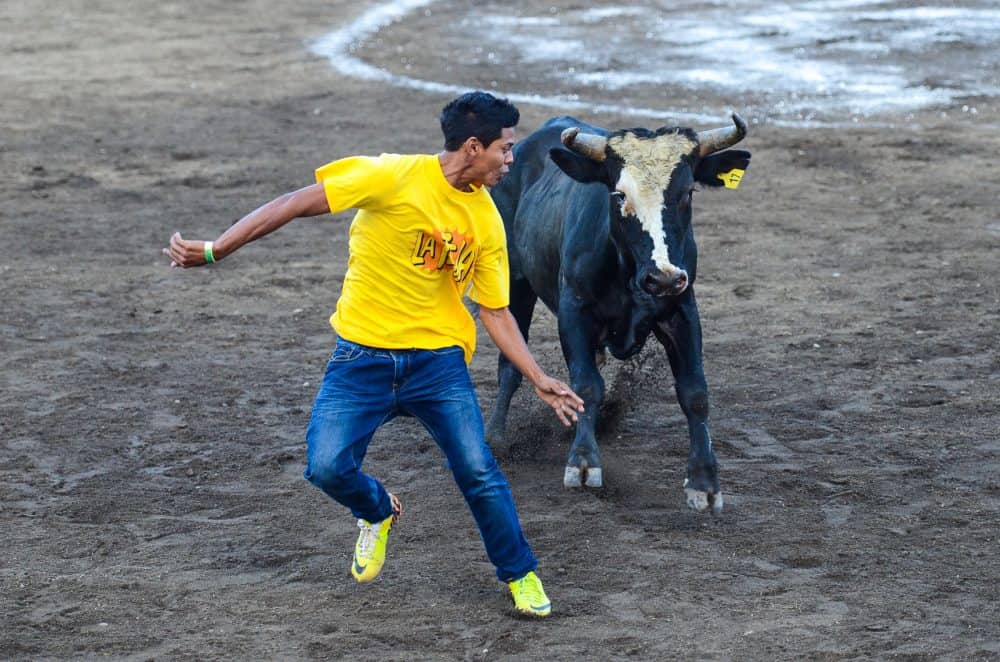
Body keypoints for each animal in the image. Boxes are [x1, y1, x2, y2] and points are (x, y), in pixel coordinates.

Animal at [484, 116, 752, 516]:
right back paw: (497, 436)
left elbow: (694, 392)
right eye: (620, 194)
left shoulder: (682, 309)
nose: (663, 277)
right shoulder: (574, 313)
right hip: (514, 284)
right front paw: (583, 462)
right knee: (509, 362)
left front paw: (704, 482)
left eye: (687, 192)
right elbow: (586, 386)